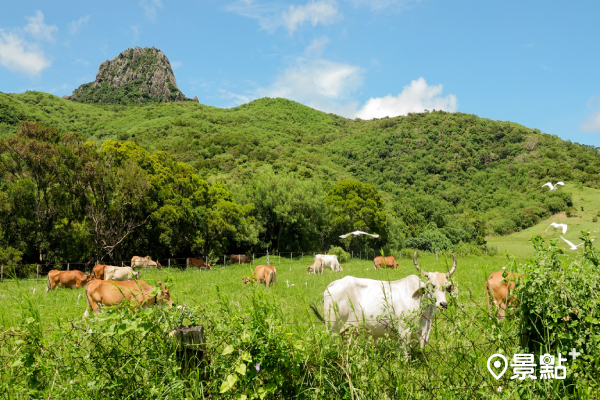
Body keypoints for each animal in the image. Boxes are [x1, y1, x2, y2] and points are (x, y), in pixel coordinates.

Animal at [312, 253, 458, 354]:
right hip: (332, 328)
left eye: (446, 287)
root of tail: (332, 284)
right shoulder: (403, 332)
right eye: (431, 286)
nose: (443, 304)